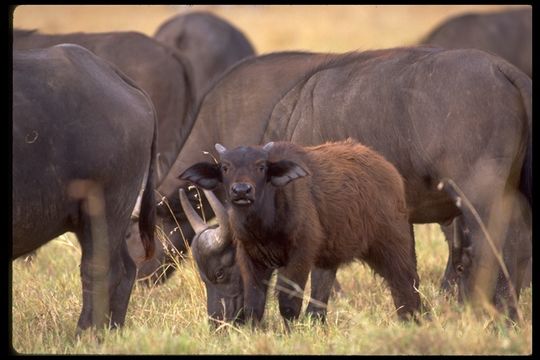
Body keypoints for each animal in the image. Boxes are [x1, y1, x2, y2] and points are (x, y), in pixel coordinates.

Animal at [153, 46, 532, 322]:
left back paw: (499, 313)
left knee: (500, 242)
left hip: (480, 196)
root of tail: (505, 71)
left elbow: (322, 275)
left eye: (220, 272)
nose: (219, 321)